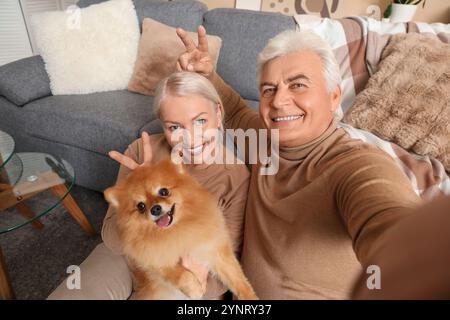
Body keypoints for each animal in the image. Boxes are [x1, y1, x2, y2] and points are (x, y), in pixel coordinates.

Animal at [103, 159, 256, 300]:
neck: (177, 229)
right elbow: (180, 274)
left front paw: (250, 297)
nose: (155, 209)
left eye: (163, 191)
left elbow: (238, 279)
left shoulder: (215, 250)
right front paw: (195, 289)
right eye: (141, 206)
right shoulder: (153, 258)